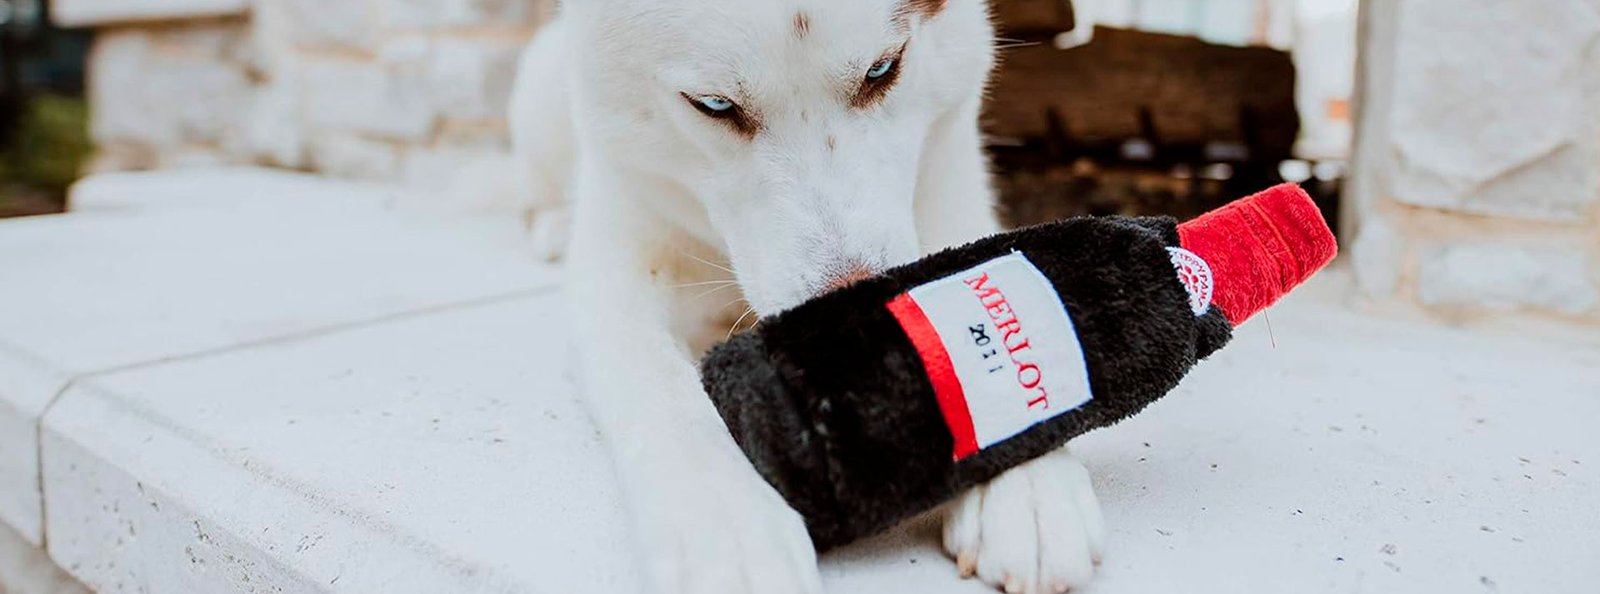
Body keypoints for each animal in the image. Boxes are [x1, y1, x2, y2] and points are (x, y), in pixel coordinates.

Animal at [505, 2, 1107, 592]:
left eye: (883, 69)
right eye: (714, 105)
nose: (850, 321)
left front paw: (1025, 467)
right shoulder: (619, 266)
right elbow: (659, 387)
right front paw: (728, 523)